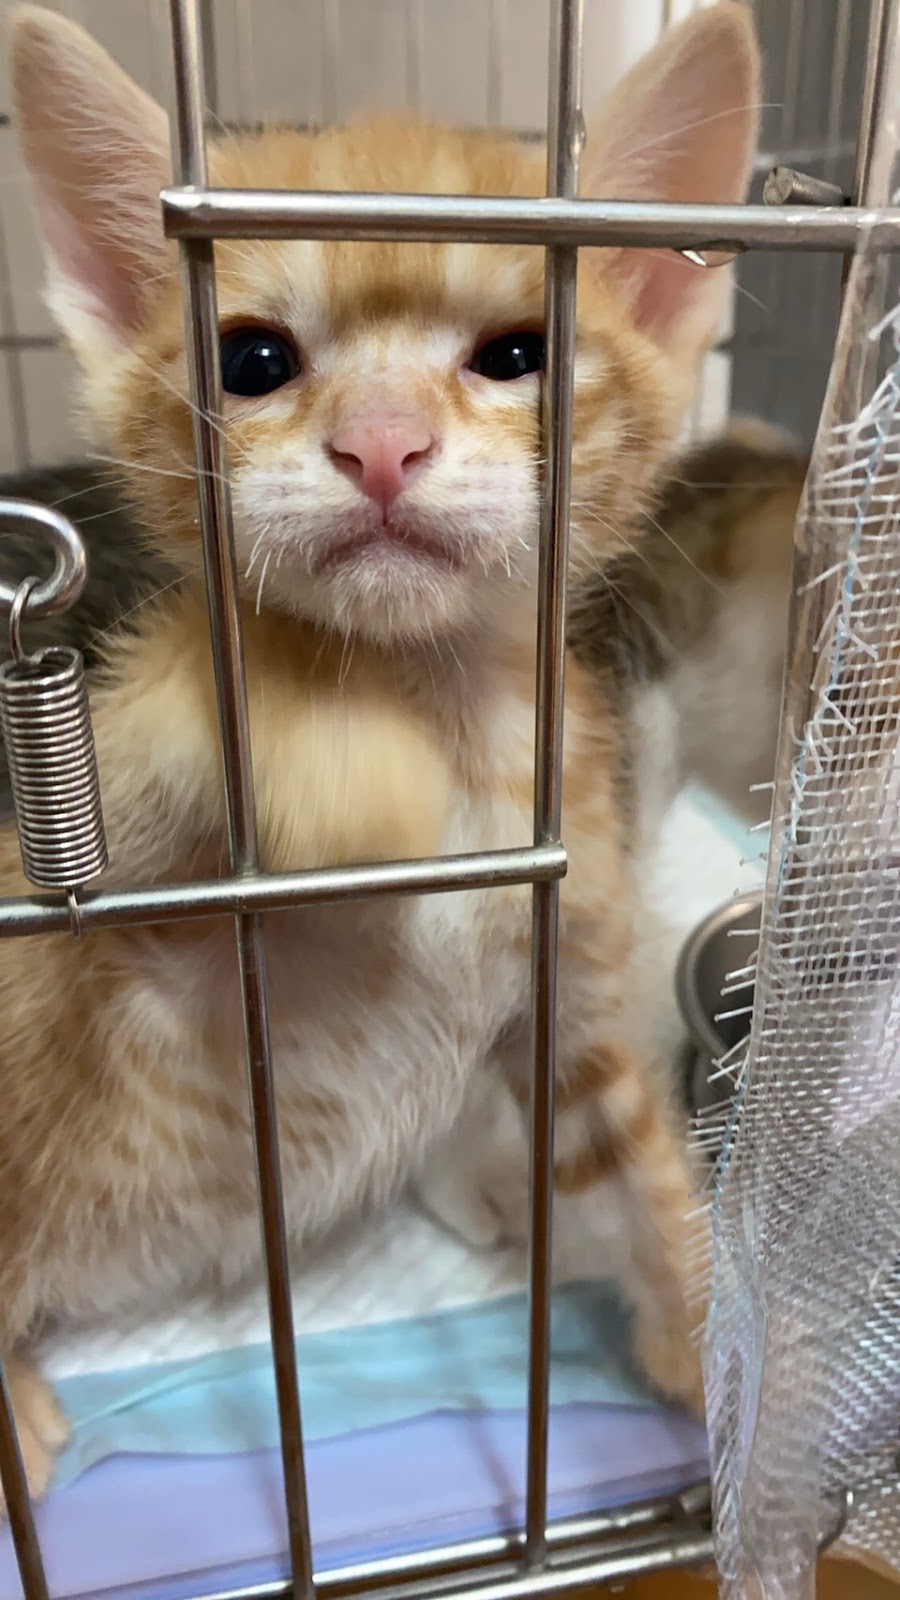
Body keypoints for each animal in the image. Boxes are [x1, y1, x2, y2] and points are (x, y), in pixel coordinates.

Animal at [0, 0, 762, 1508]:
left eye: (517, 355)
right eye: (252, 361)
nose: (382, 447)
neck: (454, 719)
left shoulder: (569, 984)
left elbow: (631, 1161)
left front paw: (703, 1354)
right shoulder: (103, 872)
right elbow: (206, 692)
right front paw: (345, 757)